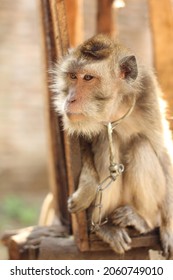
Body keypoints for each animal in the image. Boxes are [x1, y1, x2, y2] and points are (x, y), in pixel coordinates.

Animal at [52, 34, 173, 258]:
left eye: (87, 78)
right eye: (73, 76)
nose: (70, 99)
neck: (116, 107)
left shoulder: (149, 95)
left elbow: (164, 155)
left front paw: (168, 228)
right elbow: (81, 139)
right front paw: (88, 186)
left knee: (141, 144)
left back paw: (142, 220)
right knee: (106, 139)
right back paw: (103, 227)